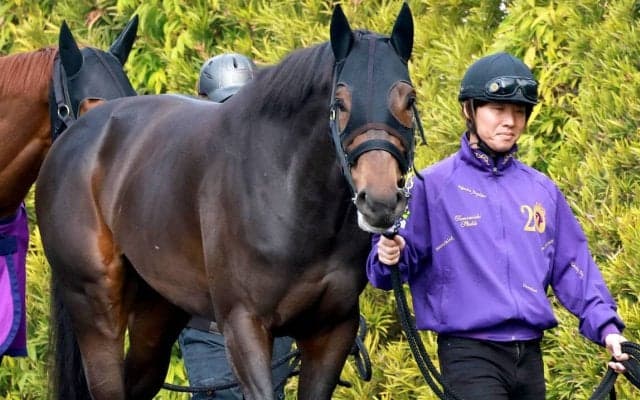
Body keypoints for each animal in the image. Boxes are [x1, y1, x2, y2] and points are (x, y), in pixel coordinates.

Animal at [35, 4, 417, 399]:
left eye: (410, 99)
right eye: (340, 102)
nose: (380, 201)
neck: (290, 194)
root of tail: (73, 140)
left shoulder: (331, 331)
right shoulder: (244, 325)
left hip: (157, 314)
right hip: (96, 309)